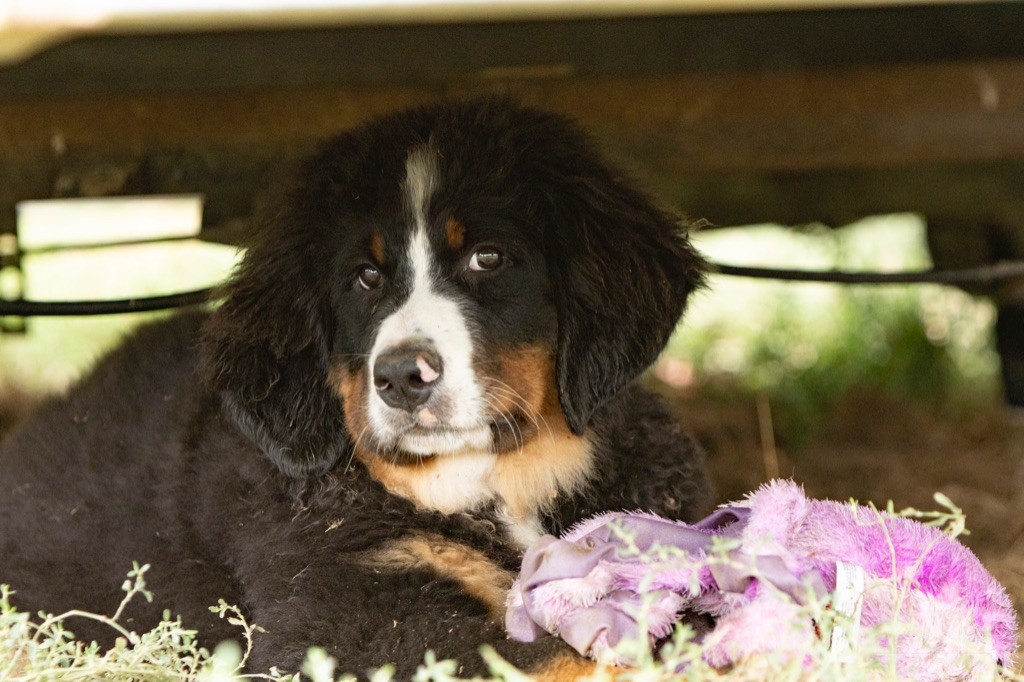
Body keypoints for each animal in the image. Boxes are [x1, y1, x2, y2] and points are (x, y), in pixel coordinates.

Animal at [0, 98, 716, 675]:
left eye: (486, 257)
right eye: (364, 278)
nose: (401, 376)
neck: (501, 482)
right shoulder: (349, 605)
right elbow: (550, 656)